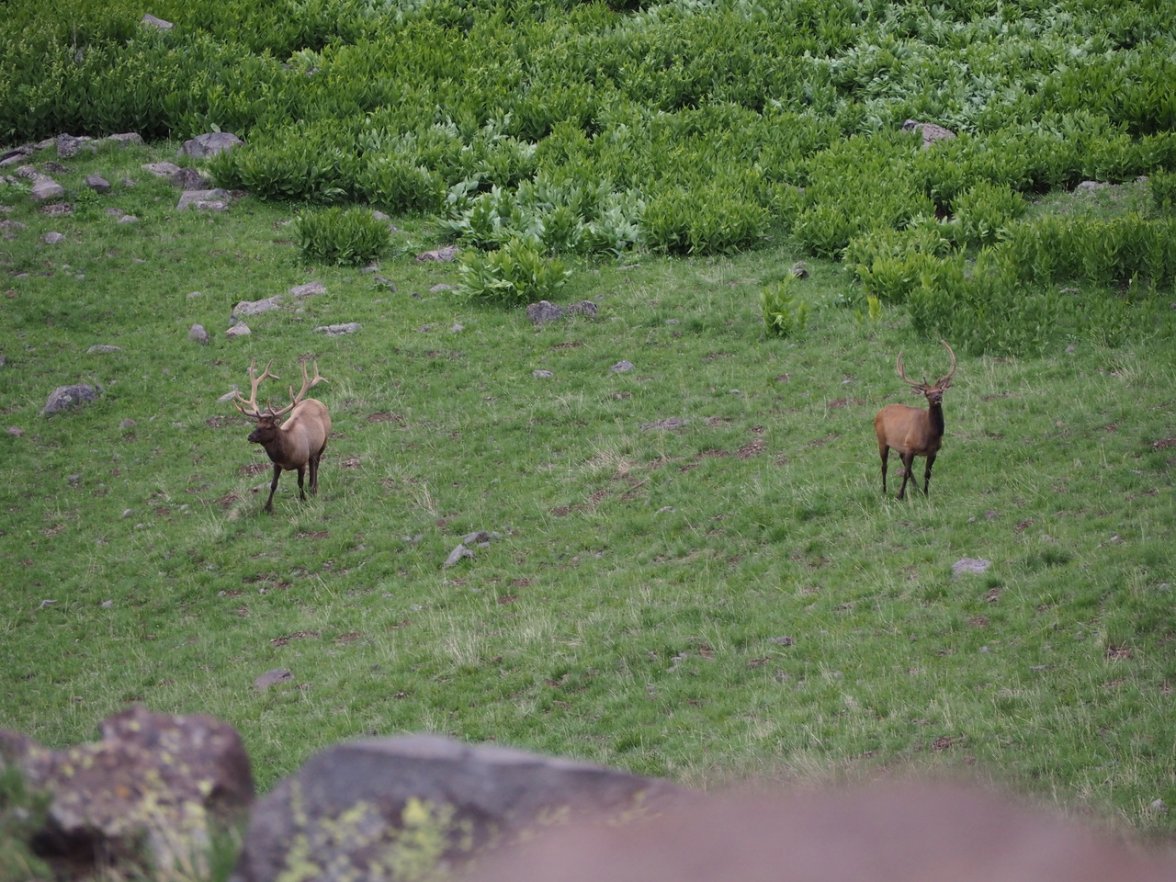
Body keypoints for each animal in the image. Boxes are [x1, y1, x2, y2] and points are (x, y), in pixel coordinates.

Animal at [232, 360, 331, 513]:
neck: (287, 455)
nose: (250, 437)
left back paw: (314, 488)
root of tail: (315, 400)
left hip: (324, 441)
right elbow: (273, 484)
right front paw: (267, 507)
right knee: (313, 462)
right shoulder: (277, 464)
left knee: (316, 464)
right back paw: (311, 486)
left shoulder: (301, 462)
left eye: (268, 427)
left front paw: (303, 499)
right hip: (312, 450)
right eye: (257, 425)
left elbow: (299, 482)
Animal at [874, 340, 957, 499]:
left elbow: (927, 473)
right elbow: (905, 473)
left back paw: (916, 488)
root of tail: (879, 412)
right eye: (927, 393)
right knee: (884, 466)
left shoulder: (933, 451)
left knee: (901, 461)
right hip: (882, 440)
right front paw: (899, 495)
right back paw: (884, 490)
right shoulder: (910, 447)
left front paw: (925, 493)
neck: (930, 434)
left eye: (940, 390)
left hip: (900, 445)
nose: (937, 397)